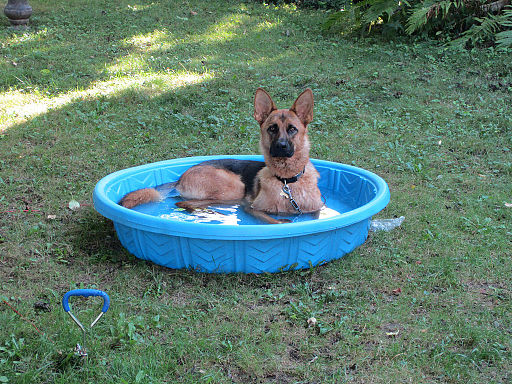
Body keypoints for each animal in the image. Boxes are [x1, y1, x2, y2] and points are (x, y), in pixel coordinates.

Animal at [119, 88, 324, 224]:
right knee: (183, 202)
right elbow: (273, 221)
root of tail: (181, 177)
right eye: (272, 129)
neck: (287, 182)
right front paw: (282, 222)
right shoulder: (249, 208)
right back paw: (213, 213)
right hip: (234, 189)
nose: (281, 147)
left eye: (292, 129)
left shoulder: (317, 211)